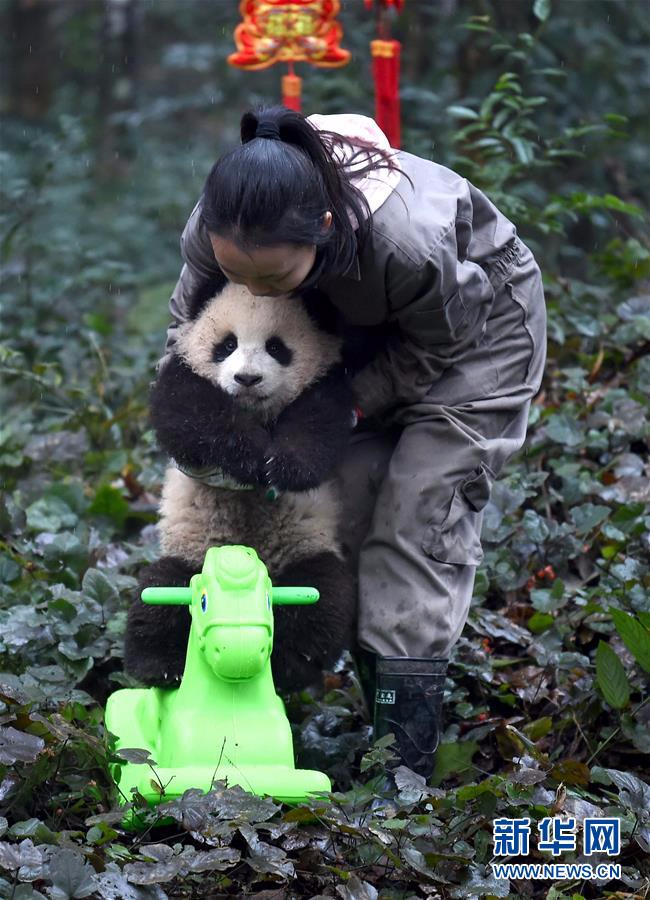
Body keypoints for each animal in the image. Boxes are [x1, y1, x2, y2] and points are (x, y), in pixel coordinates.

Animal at [123, 278, 354, 692]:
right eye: (226, 345)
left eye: (277, 347)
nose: (247, 379)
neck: (255, 414)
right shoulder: (180, 373)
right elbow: (188, 416)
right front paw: (250, 458)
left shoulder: (329, 383)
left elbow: (320, 422)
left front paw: (283, 465)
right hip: (191, 551)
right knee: (159, 594)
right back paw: (159, 666)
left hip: (305, 550)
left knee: (322, 600)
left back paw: (289, 666)